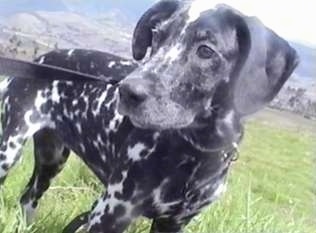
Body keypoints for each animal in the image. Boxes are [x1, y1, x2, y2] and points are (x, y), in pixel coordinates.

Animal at [0, 0, 298, 232]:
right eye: (157, 36)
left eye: (205, 50)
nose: (127, 90)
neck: (195, 153)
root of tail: (40, 60)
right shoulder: (111, 212)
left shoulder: (173, 223)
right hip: (9, 152)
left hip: (52, 159)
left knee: (28, 198)